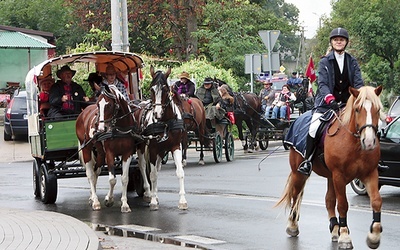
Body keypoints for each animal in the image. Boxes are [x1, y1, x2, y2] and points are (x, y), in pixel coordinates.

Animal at [76, 84, 137, 213]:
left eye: (109, 105)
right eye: (98, 104)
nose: (100, 128)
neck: (119, 128)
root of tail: (83, 113)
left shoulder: (127, 153)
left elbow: (124, 178)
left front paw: (125, 204)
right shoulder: (110, 154)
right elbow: (112, 179)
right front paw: (109, 199)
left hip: (100, 153)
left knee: (95, 172)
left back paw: (92, 197)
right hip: (86, 149)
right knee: (90, 174)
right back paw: (95, 201)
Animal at [134, 66, 188, 211]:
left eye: (165, 90)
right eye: (151, 89)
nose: (157, 113)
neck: (165, 123)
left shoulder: (175, 146)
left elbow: (180, 172)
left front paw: (182, 200)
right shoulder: (152, 148)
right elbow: (152, 174)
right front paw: (153, 200)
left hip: (161, 150)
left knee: (157, 169)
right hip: (142, 147)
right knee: (143, 166)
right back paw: (149, 193)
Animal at [276, 85, 384, 248]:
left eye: (377, 109)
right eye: (357, 109)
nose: (369, 142)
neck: (354, 143)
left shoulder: (369, 173)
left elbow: (376, 201)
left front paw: (374, 236)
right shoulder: (339, 175)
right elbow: (343, 204)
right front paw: (345, 236)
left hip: (330, 177)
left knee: (329, 200)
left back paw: (334, 228)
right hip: (299, 173)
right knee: (295, 195)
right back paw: (293, 226)